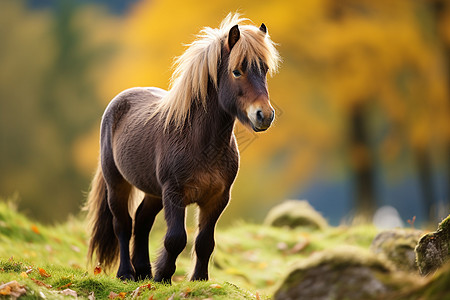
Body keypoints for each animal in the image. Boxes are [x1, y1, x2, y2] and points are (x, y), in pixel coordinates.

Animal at [85, 12, 278, 282]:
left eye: (265, 70)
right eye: (237, 71)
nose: (265, 115)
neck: (201, 144)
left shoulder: (217, 198)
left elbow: (205, 242)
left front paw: (198, 280)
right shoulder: (175, 194)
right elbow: (176, 239)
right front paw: (163, 276)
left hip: (153, 193)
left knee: (142, 223)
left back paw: (143, 270)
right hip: (117, 184)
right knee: (122, 225)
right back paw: (126, 273)